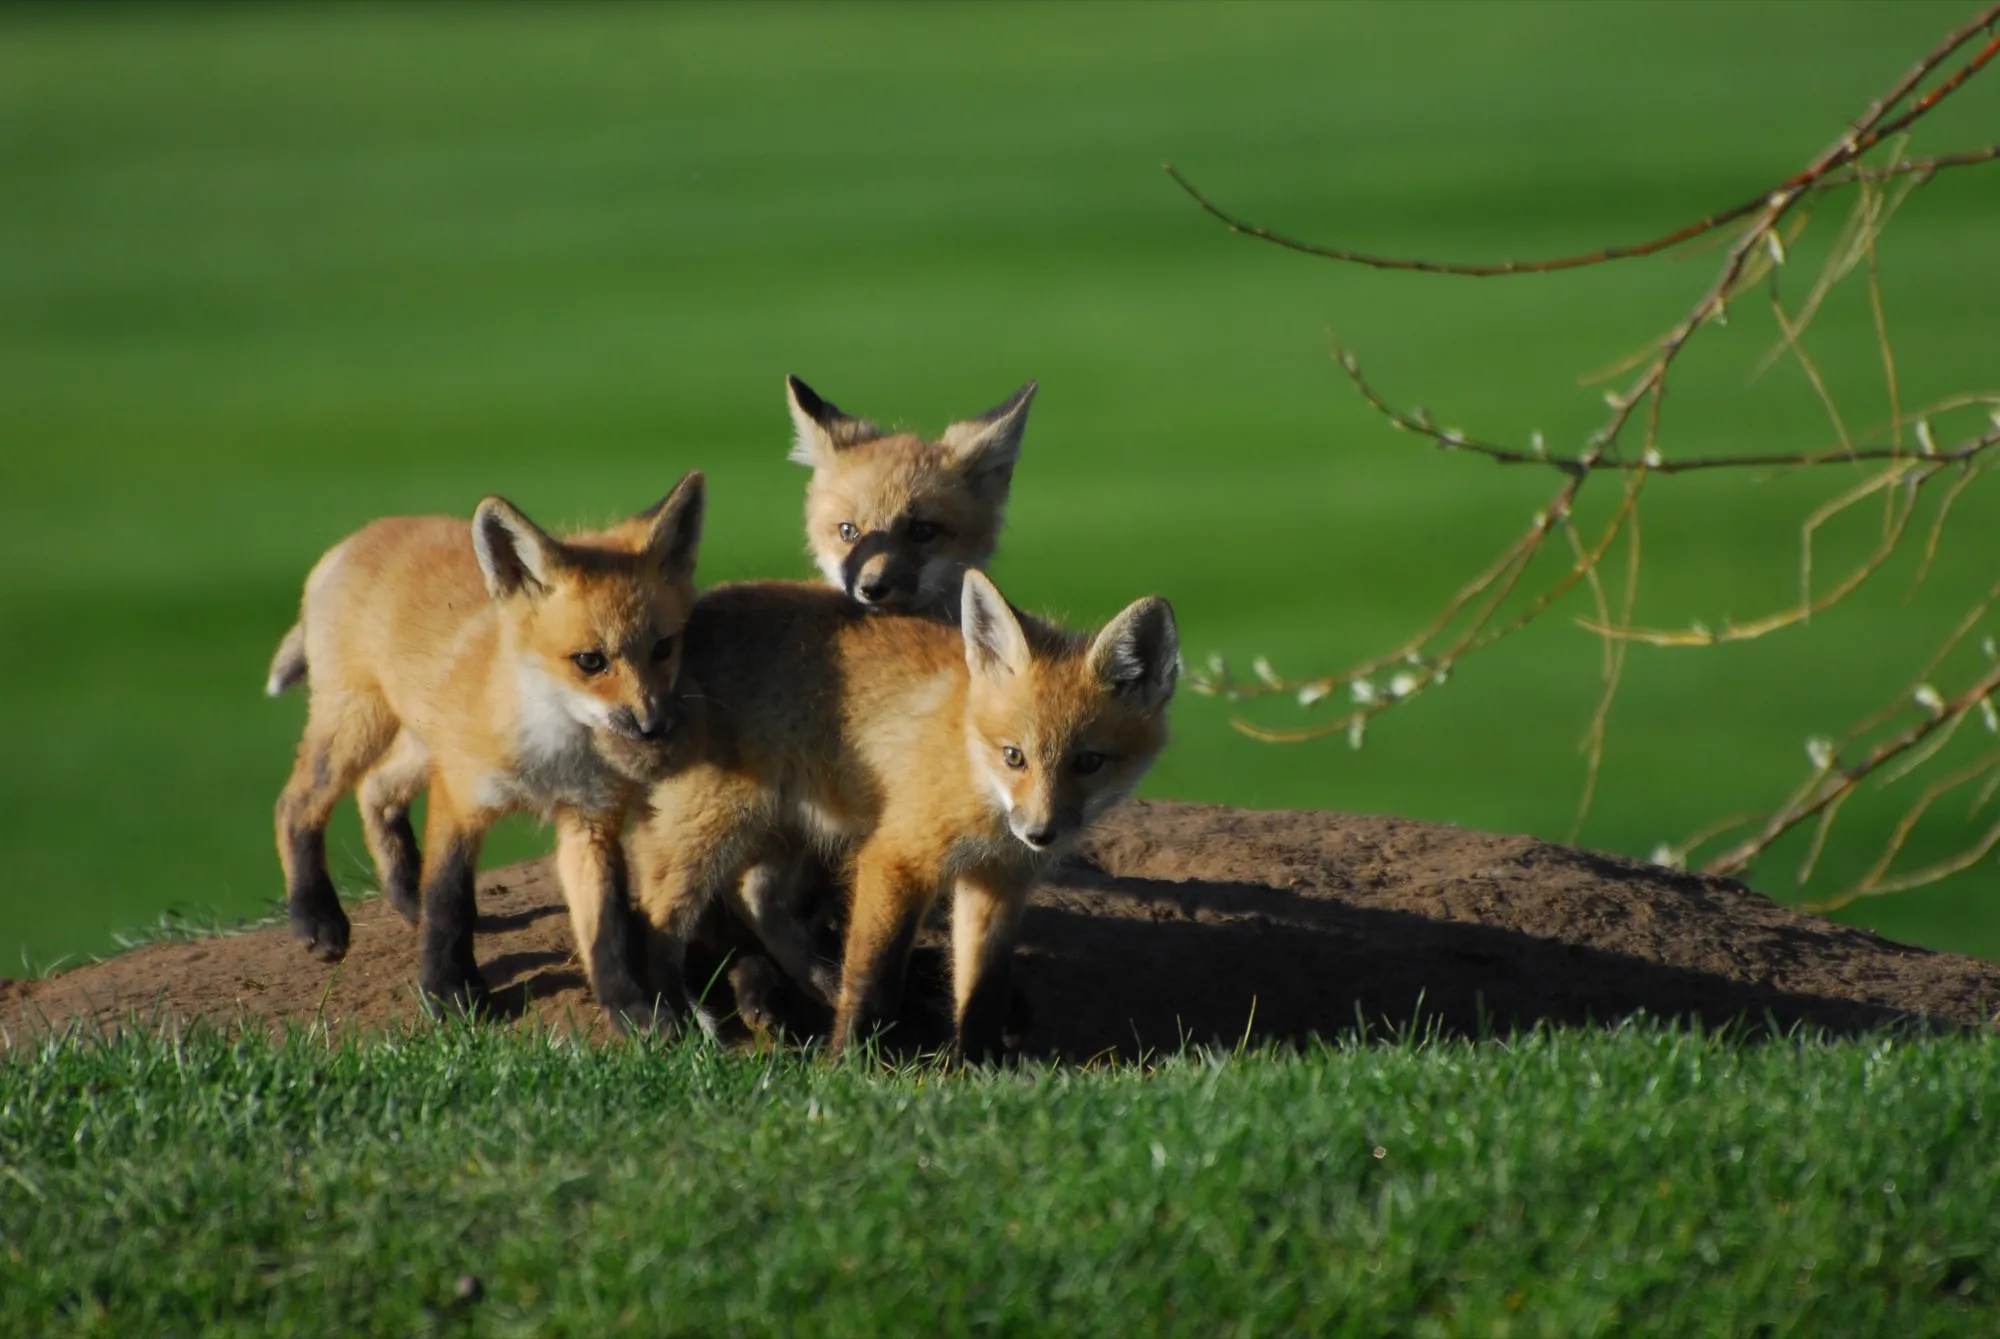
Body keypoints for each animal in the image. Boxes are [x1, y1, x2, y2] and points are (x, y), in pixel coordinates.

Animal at [264, 473, 705, 1031]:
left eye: (664, 649)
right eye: (590, 661)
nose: (653, 727)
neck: (551, 755)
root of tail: (358, 537)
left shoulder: (589, 819)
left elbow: (608, 927)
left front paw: (634, 1010)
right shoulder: (461, 797)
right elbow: (450, 900)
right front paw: (450, 993)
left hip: (421, 743)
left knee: (375, 791)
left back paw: (406, 897)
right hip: (358, 725)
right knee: (296, 804)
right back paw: (315, 915)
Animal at [628, 569, 1179, 1060]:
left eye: (1088, 762)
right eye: (1014, 756)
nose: (1040, 834)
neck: (974, 772)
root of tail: (699, 609)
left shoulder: (999, 880)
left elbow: (982, 986)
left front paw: (979, 1066)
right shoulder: (896, 858)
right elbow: (875, 976)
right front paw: (848, 1063)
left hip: (789, 826)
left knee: (757, 898)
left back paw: (821, 981)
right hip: (715, 823)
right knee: (657, 915)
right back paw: (677, 1021)